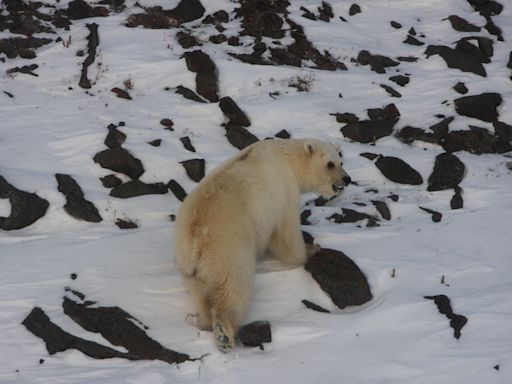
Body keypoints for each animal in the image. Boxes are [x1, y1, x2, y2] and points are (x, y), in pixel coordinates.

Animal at [174, 139, 350, 354]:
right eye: (330, 164)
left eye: (341, 161)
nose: (347, 179)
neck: (288, 157)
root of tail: (194, 243)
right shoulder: (284, 191)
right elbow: (286, 232)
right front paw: (311, 248)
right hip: (227, 252)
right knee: (234, 289)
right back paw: (225, 335)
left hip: (190, 269)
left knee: (200, 294)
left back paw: (200, 320)